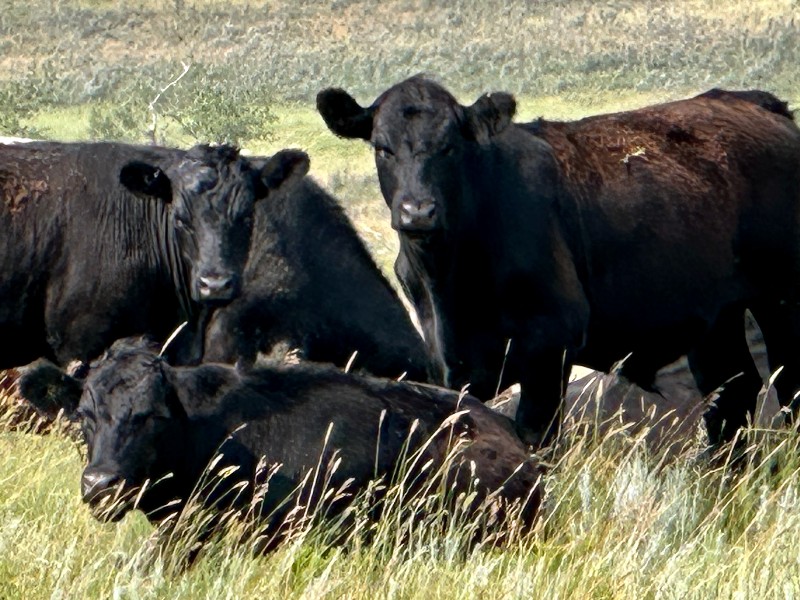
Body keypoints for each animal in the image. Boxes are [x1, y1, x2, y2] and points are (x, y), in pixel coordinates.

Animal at [316, 76, 800, 449]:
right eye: (382, 148)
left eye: (450, 147)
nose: (417, 211)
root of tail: (752, 101)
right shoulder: (446, 359)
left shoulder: (549, 347)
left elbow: (535, 441)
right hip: (716, 317)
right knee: (733, 395)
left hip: (780, 300)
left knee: (787, 388)